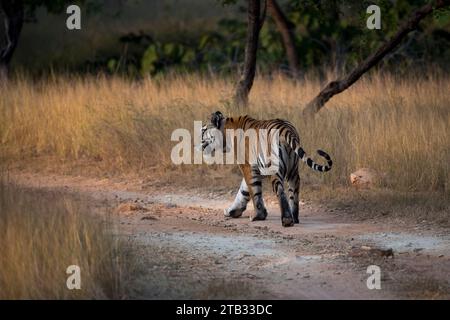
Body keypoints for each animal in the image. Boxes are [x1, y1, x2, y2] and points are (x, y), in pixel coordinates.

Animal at [199, 111, 332, 226]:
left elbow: (253, 191)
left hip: (274, 170)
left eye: (204, 130)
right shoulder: (257, 169)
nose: (197, 142)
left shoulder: (248, 166)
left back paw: (287, 220)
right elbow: (244, 191)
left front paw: (258, 215)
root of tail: (286, 128)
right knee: (294, 192)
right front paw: (232, 211)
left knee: (280, 191)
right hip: (293, 171)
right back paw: (295, 218)